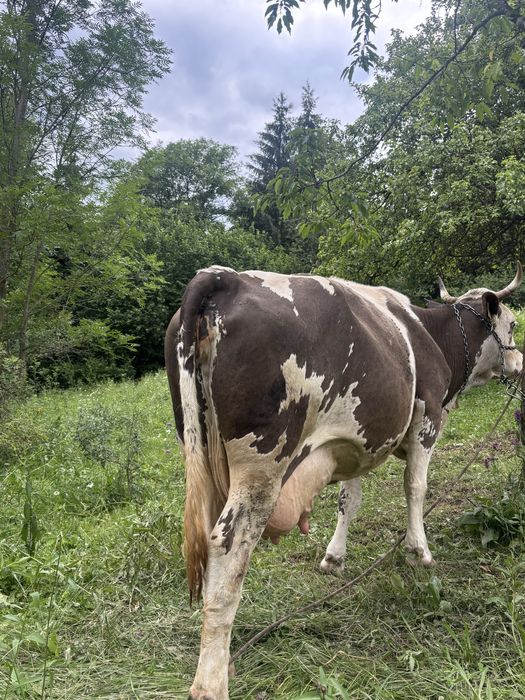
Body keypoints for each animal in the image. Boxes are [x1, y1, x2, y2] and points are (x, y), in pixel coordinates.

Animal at [164, 264, 522, 700]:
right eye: (512, 323)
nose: (519, 362)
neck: (432, 334)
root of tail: (222, 277)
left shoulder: (355, 442)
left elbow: (348, 500)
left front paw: (334, 557)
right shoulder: (428, 417)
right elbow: (416, 486)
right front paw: (418, 551)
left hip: (202, 456)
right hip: (262, 463)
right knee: (229, 547)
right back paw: (211, 683)